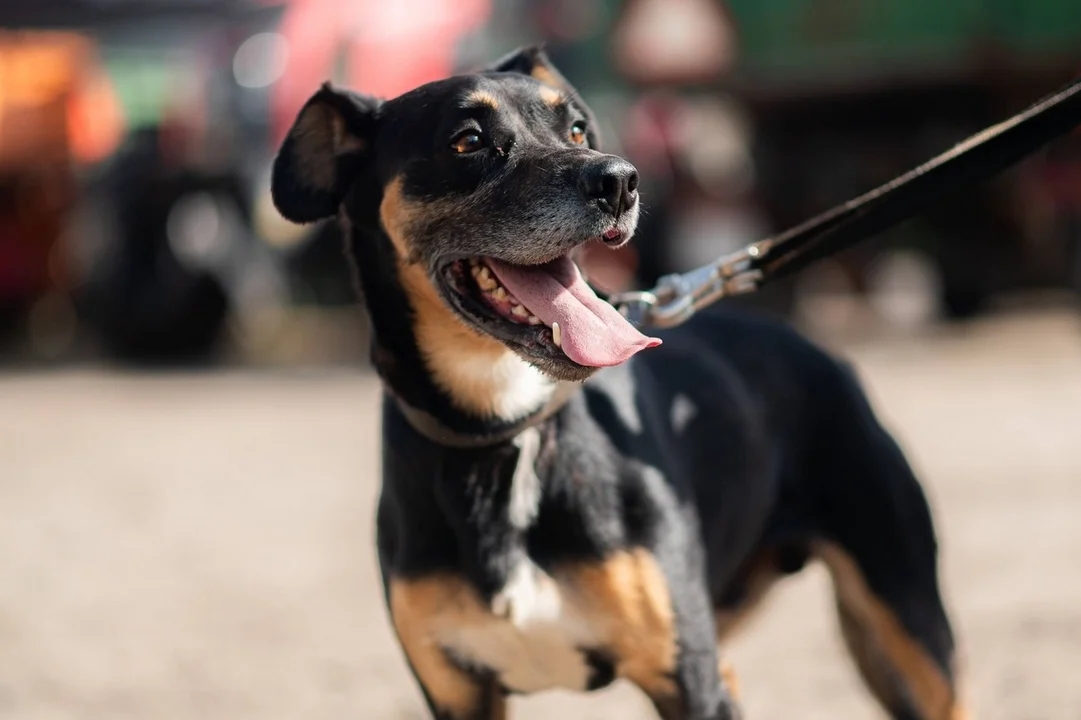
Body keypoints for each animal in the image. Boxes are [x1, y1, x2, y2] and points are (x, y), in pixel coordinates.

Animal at [268, 46, 964, 717]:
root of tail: (818, 349)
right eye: (467, 140)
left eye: (576, 127)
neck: (506, 430)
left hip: (909, 618)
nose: (620, 180)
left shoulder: (688, 680)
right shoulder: (459, 695)